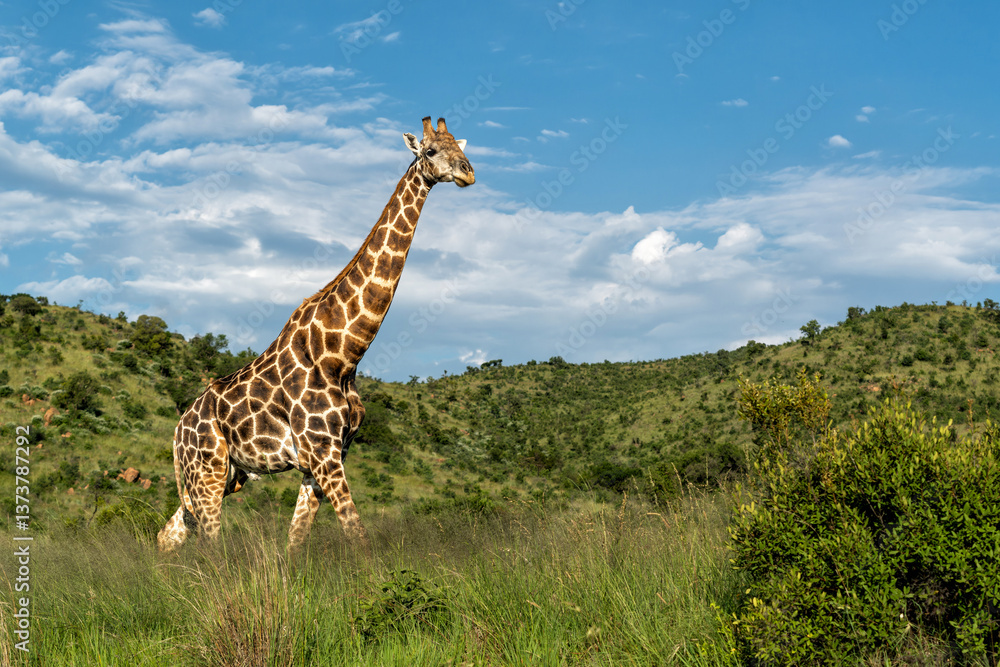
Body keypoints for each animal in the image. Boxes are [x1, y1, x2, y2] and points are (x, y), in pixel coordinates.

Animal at [157, 117, 474, 553]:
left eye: (459, 146)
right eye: (430, 151)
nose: (467, 172)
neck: (343, 352)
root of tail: (177, 430)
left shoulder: (324, 457)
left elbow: (295, 541)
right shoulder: (323, 453)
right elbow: (358, 536)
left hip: (224, 476)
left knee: (170, 531)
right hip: (207, 470)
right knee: (208, 541)